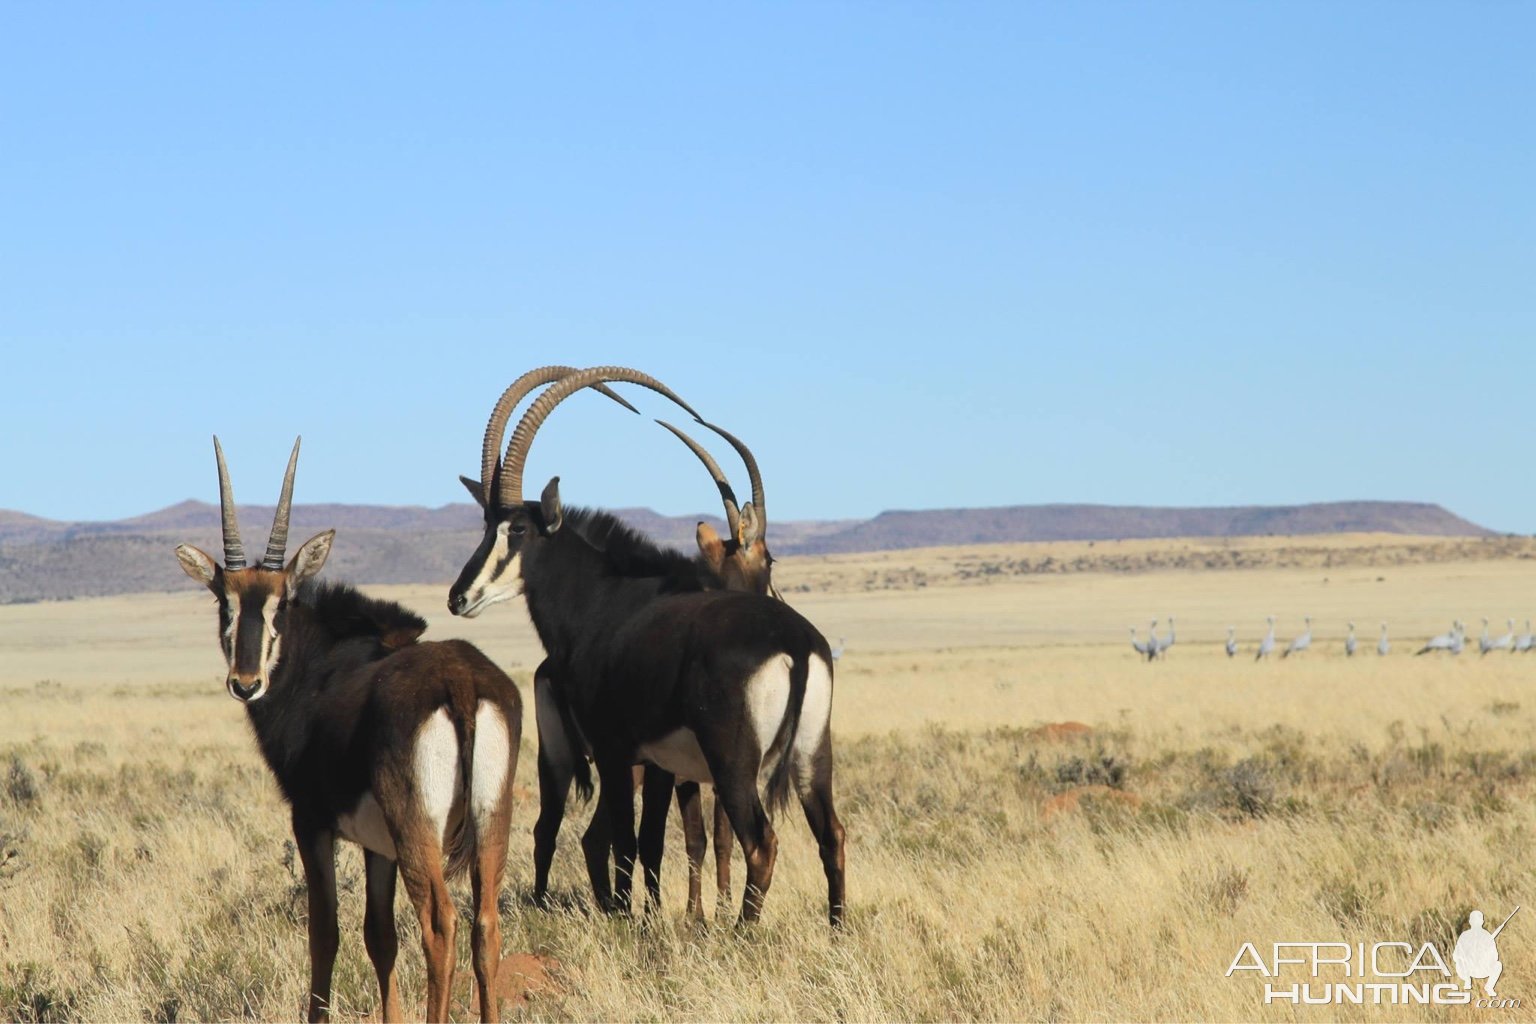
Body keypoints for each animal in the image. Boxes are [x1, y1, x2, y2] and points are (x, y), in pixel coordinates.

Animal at [177, 436, 525, 1024]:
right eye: (225, 603)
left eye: (280, 604)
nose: (246, 683)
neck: (321, 667)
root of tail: (459, 679)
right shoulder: (376, 846)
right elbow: (379, 937)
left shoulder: (312, 824)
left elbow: (326, 934)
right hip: (490, 818)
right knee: (486, 925)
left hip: (417, 829)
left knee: (439, 925)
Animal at [448, 366, 847, 927]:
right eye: (486, 525)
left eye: (519, 528)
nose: (458, 597)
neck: (604, 597)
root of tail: (795, 642)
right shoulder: (658, 763)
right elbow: (651, 841)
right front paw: (650, 917)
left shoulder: (616, 751)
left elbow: (630, 841)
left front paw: (625, 917)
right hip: (813, 756)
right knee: (830, 834)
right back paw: (836, 930)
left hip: (725, 762)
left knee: (759, 841)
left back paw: (741, 933)